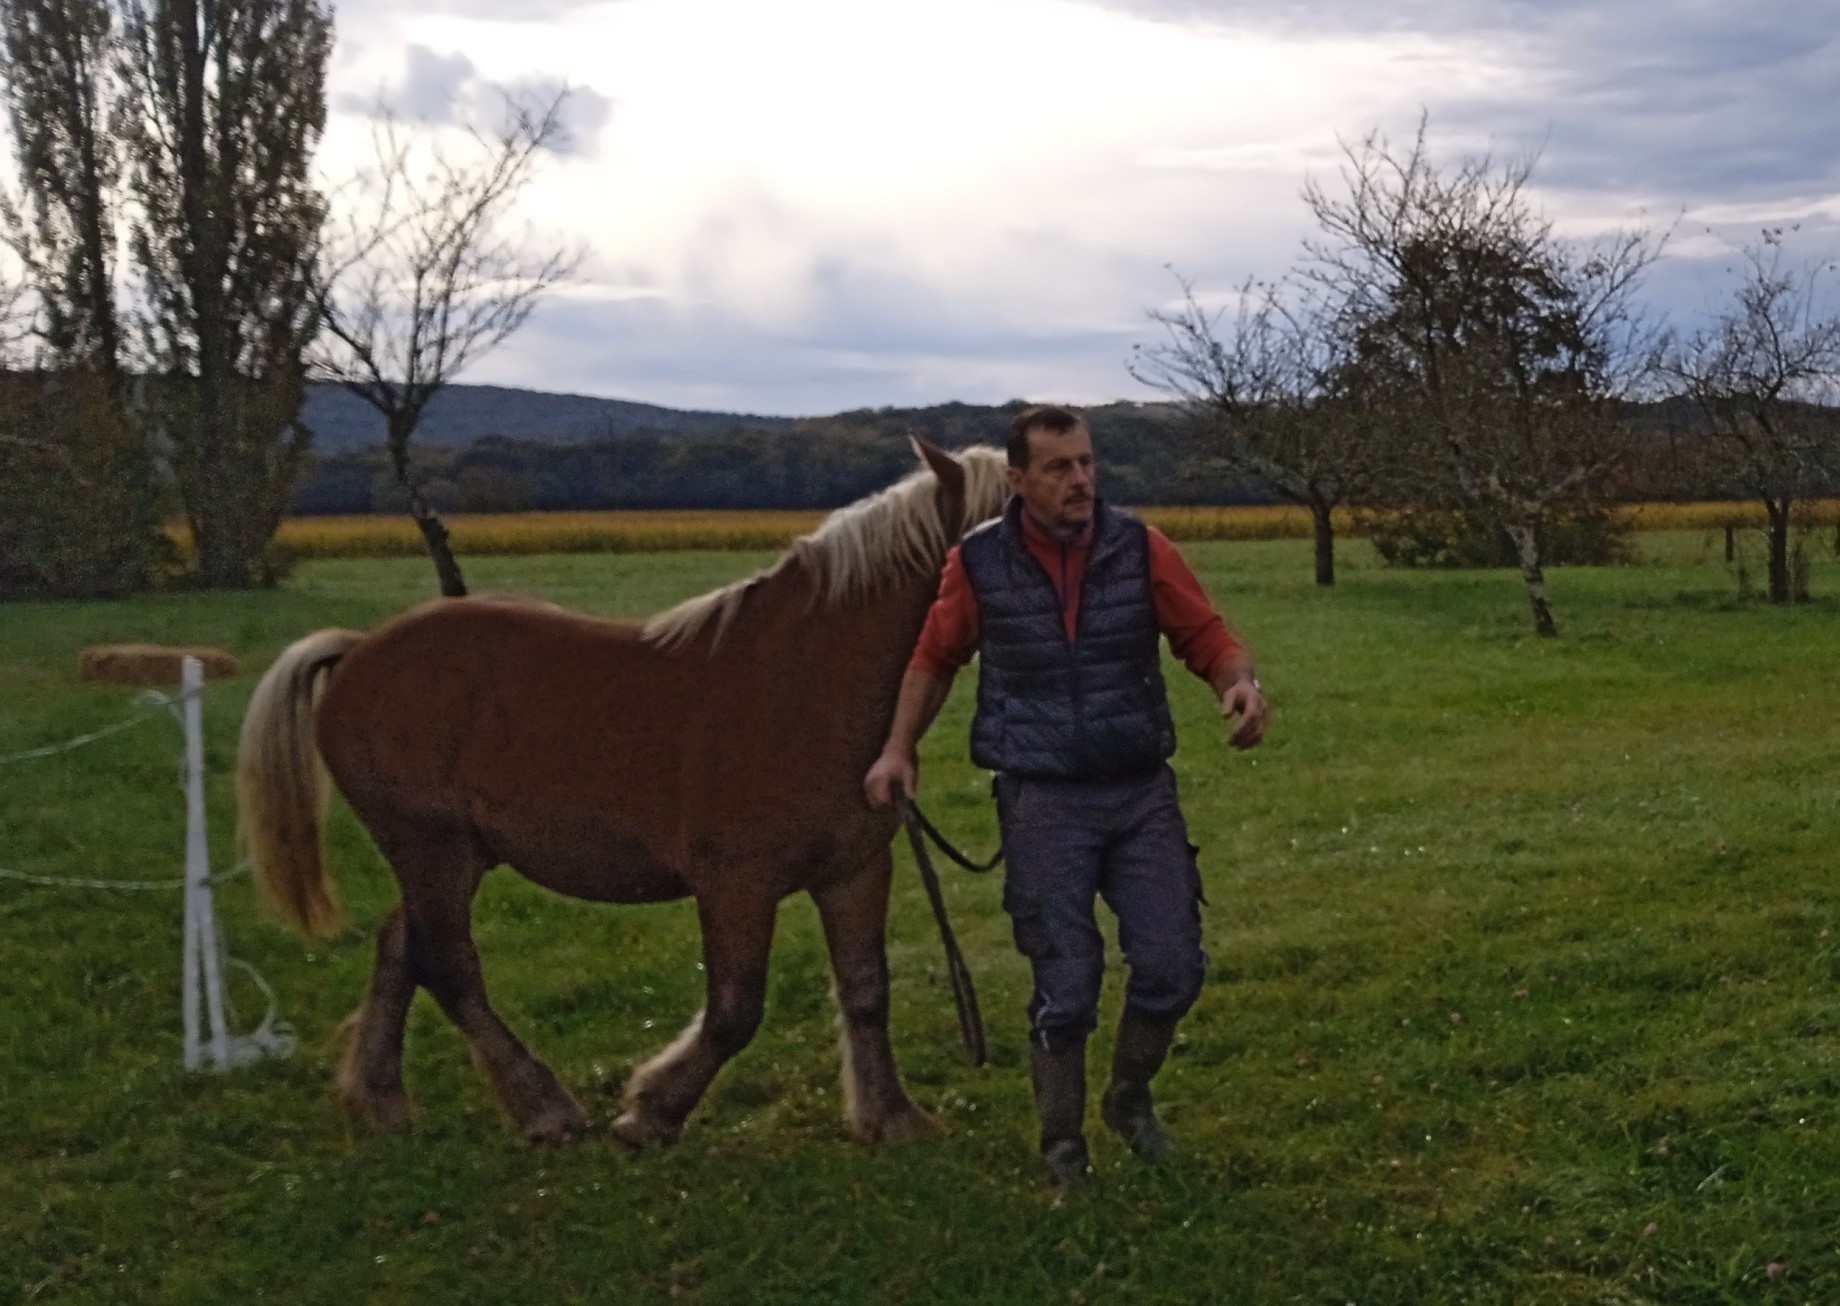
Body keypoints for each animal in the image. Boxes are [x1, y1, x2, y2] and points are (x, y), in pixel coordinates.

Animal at [233, 439, 1008, 1147]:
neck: (807, 681)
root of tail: (358, 649)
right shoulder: (736, 883)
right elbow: (735, 1010)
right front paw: (653, 1109)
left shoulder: (855, 871)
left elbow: (866, 990)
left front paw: (890, 1117)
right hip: (433, 851)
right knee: (449, 968)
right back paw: (541, 1107)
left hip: (452, 856)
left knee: (402, 947)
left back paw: (379, 1098)